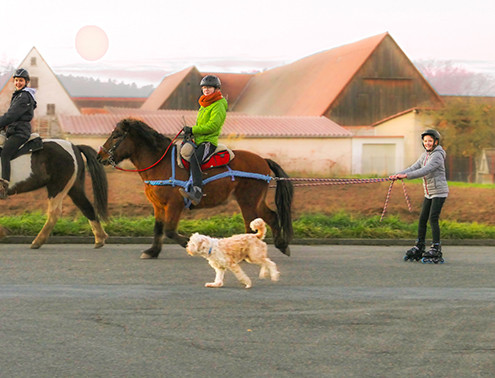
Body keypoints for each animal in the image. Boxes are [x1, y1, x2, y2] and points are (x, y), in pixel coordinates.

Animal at [96, 118, 294, 260]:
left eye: (116, 135)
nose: (100, 157)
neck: (161, 163)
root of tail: (263, 160)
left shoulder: (174, 204)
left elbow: (169, 230)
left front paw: (188, 243)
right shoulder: (158, 205)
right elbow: (158, 229)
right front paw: (152, 251)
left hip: (248, 202)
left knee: (251, 226)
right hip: (255, 201)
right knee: (271, 216)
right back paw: (282, 245)